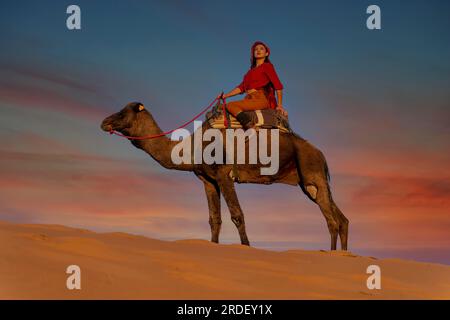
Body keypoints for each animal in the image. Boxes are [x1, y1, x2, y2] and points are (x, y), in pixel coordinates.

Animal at [101, 102, 348, 250]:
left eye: (123, 112)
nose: (104, 122)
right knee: (341, 218)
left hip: (311, 172)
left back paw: (332, 254)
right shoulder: (208, 180)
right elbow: (214, 219)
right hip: (309, 182)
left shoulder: (223, 175)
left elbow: (237, 215)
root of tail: (320, 153)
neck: (192, 147)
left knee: (331, 220)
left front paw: (246, 248)